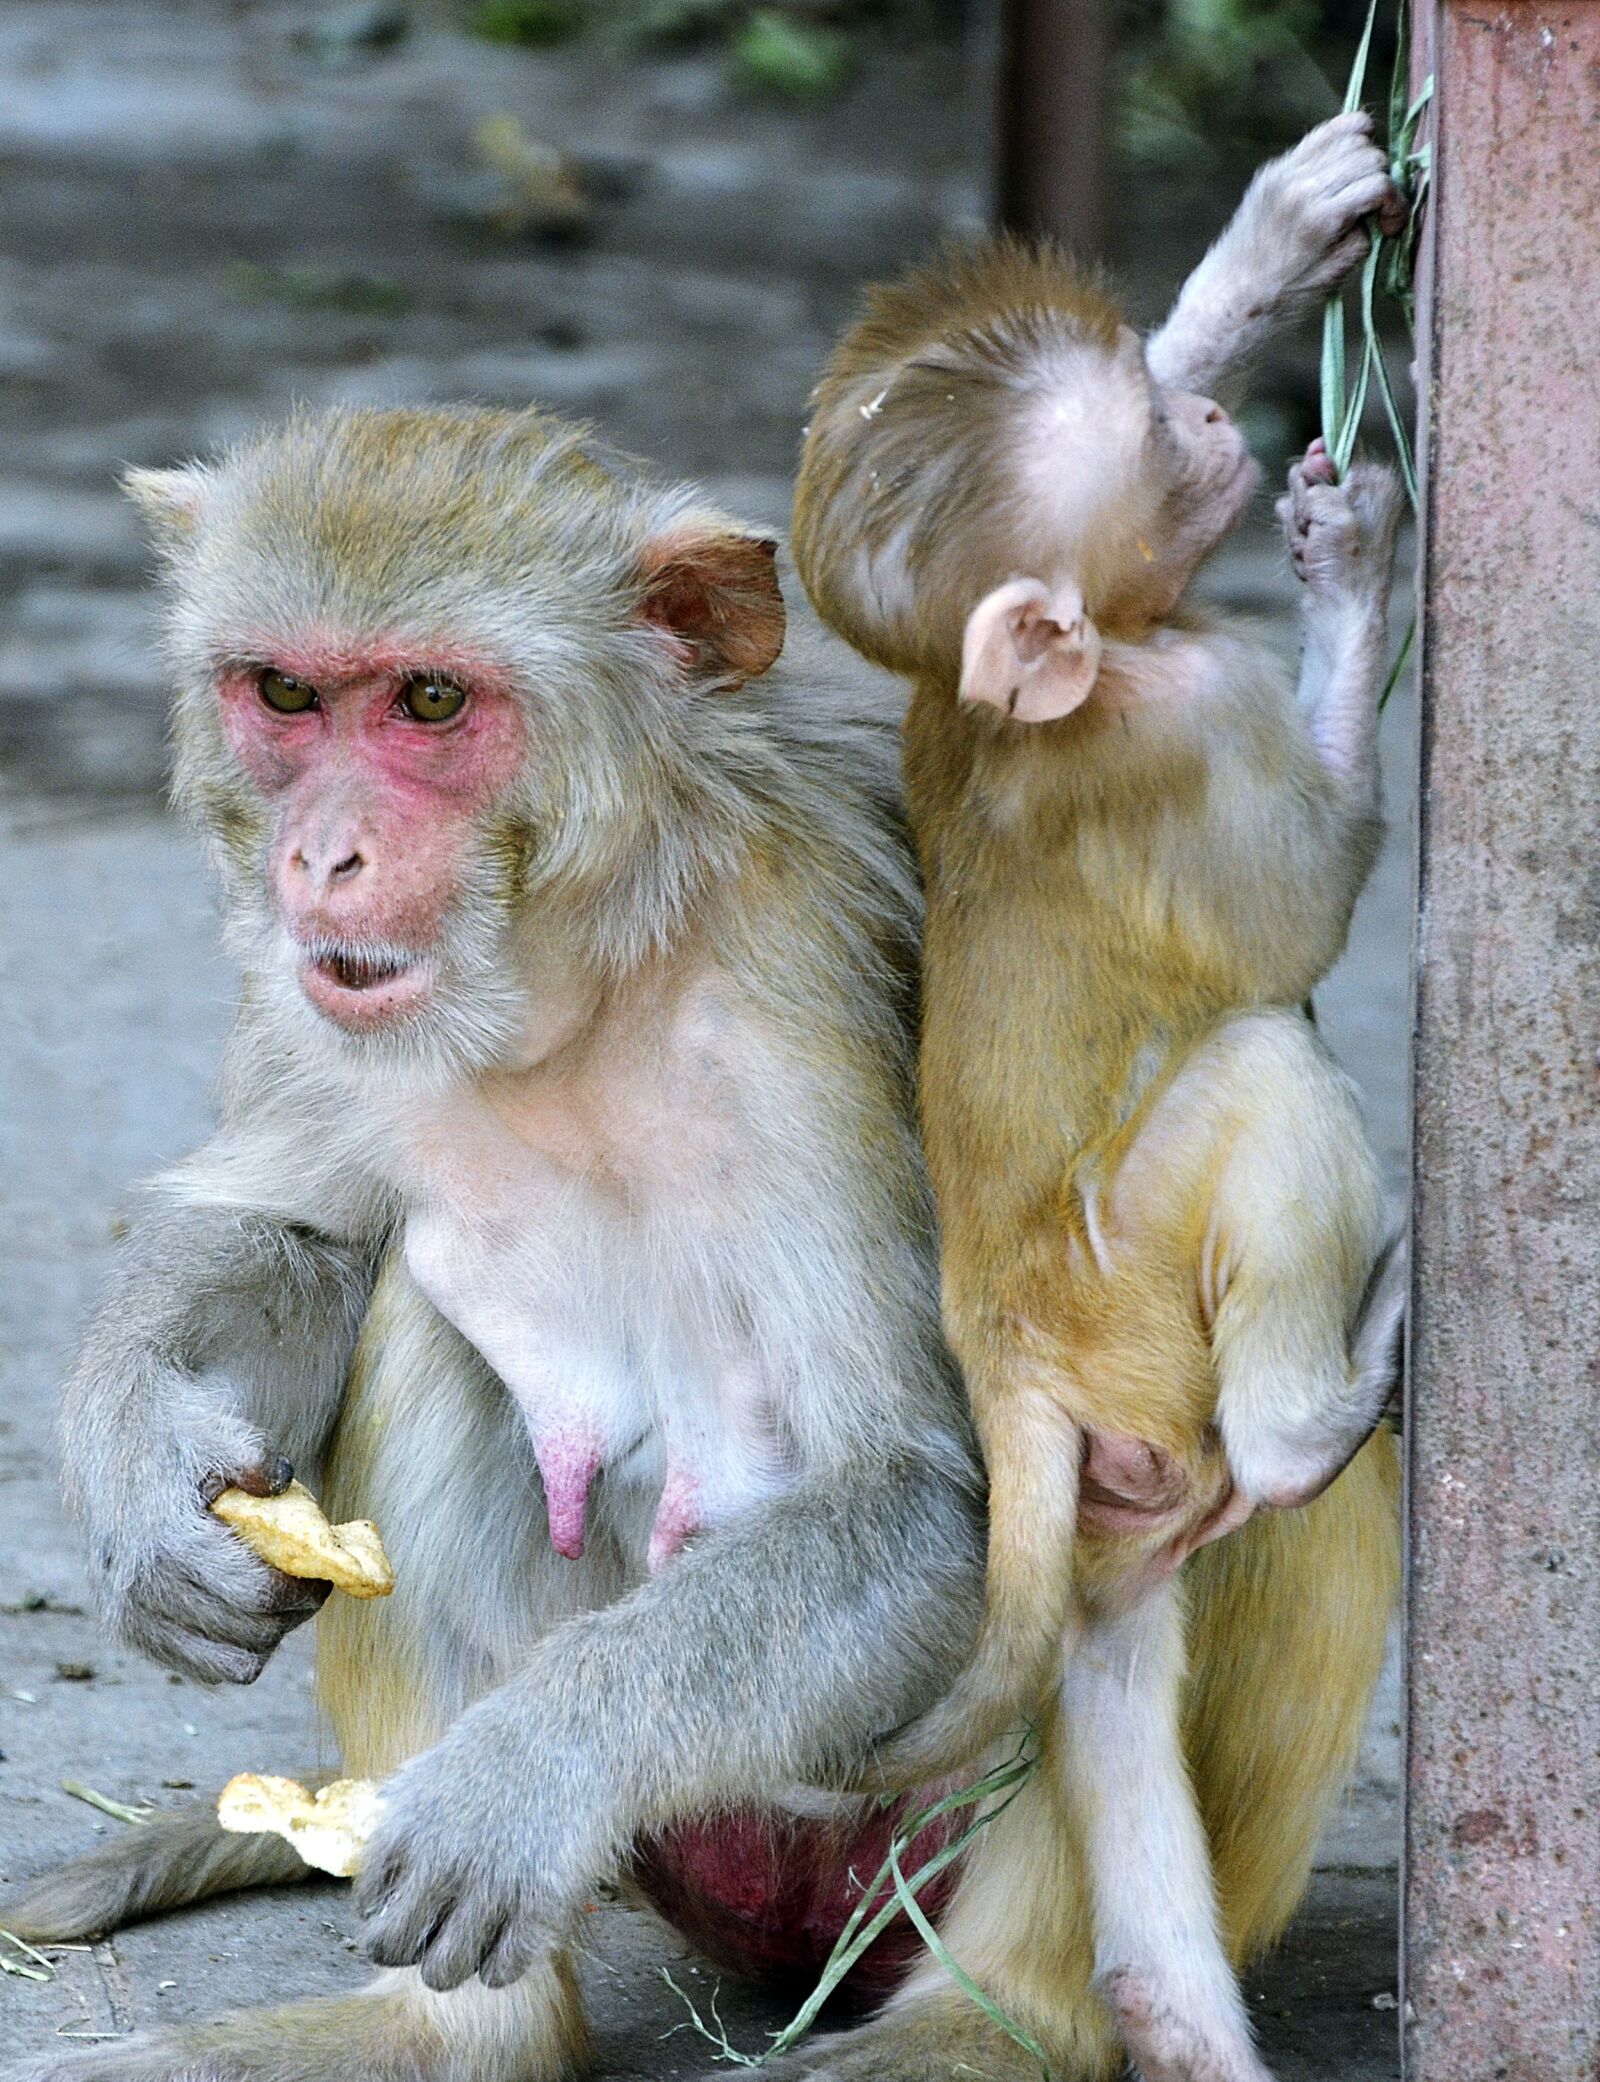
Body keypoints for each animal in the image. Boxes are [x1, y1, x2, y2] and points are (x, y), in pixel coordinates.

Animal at [788, 114, 1407, 2082]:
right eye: (1150, 437)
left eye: (1147, 382)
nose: (1207, 417)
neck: (1036, 693)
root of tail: (1002, 1350)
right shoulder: (1185, 711)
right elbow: (1304, 908)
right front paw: (1353, 567)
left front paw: (1271, 248)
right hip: (1128, 1285)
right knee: (1266, 1068)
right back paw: (1308, 1420)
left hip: (1120, 1431)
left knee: (1115, 1623)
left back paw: (1162, 2007)